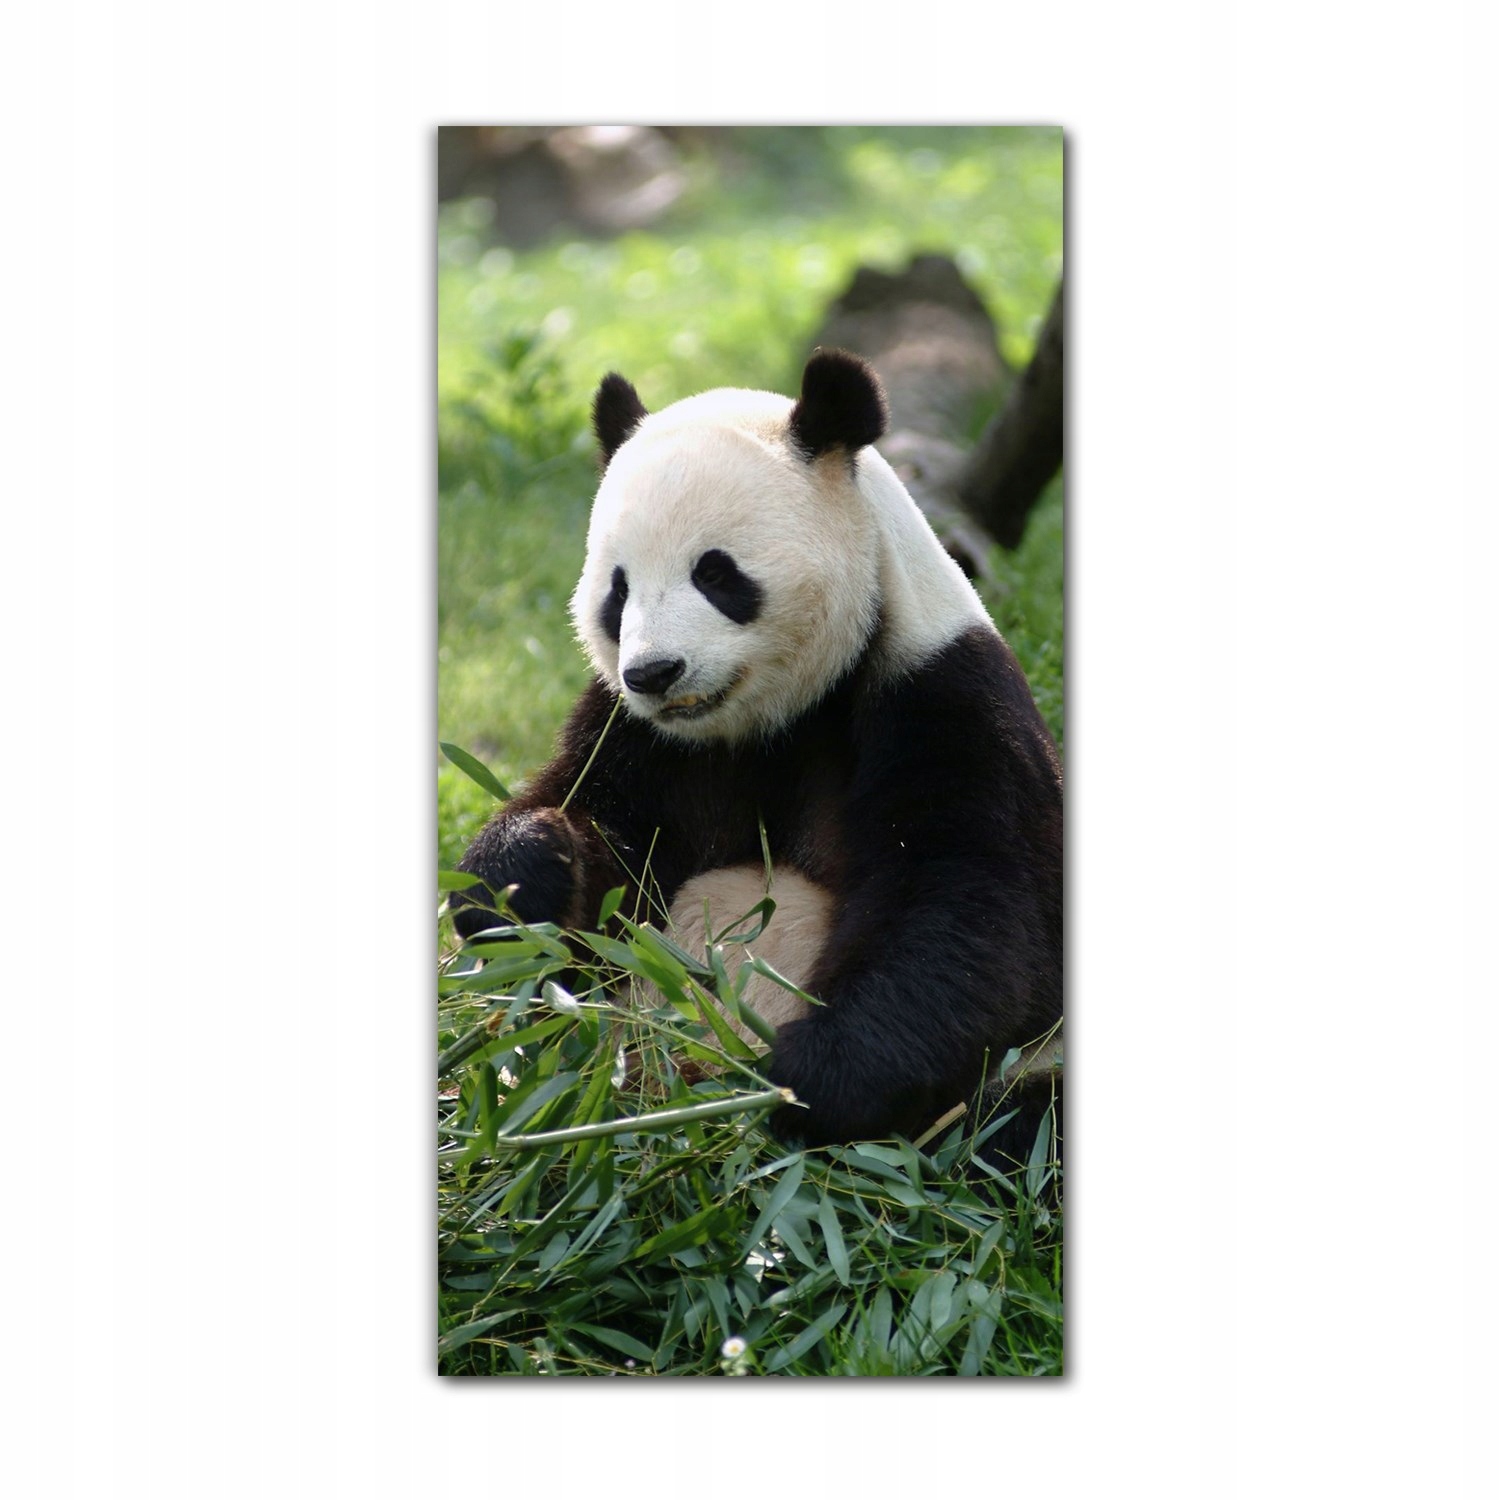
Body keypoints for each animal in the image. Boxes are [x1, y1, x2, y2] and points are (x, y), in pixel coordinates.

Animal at [451, 349, 1063, 1150]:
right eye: (618, 591)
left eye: (715, 573)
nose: (655, 673)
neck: (771, 719)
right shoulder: (638, 739)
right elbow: (590, 846)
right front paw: (520, 875)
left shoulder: (941, 699)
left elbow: (969, 910)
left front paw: (808, 1081)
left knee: (1019, 1121)